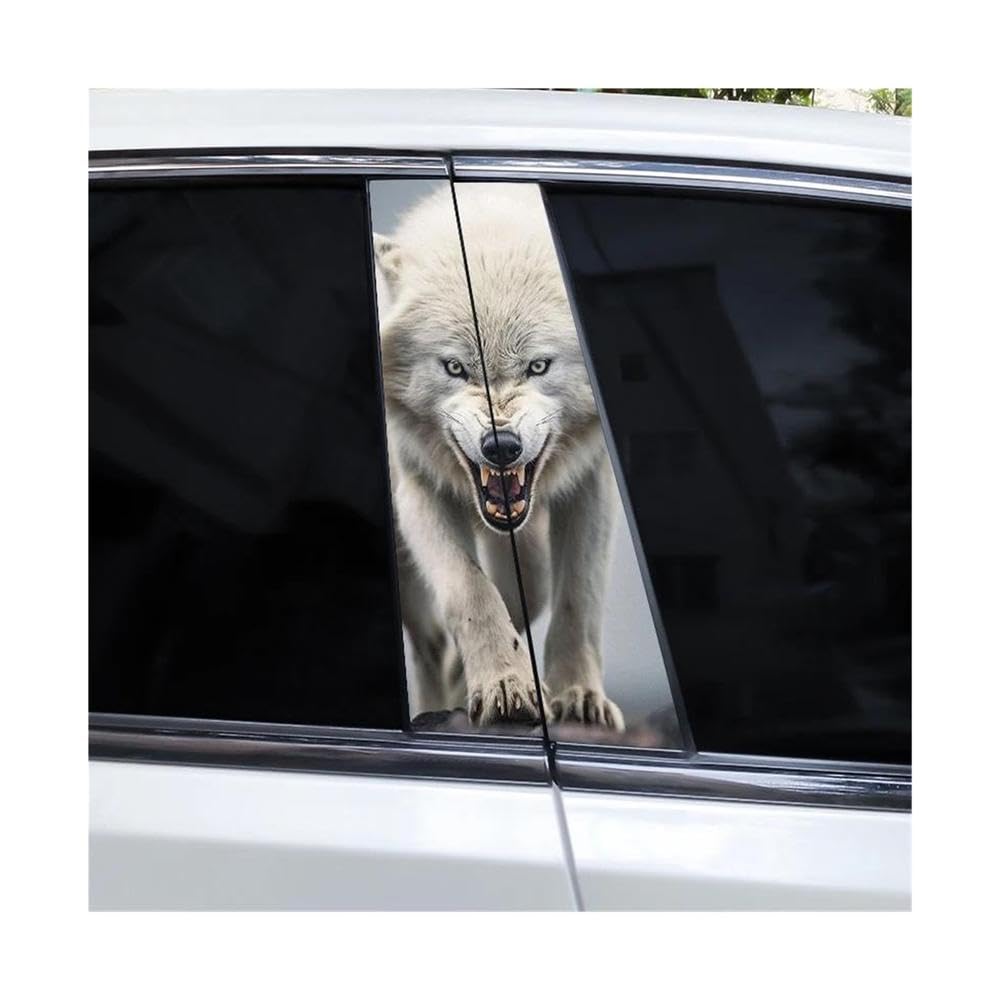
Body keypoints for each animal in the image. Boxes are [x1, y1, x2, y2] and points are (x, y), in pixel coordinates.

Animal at [374, 183, 624, 730]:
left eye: (537, 366)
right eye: (455, 368)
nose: (501, 446)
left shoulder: (591, 482)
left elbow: (578, 595)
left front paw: (577, 695)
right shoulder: (419, 490)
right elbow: (470, 590)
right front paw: (505, 685)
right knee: (429, 646)